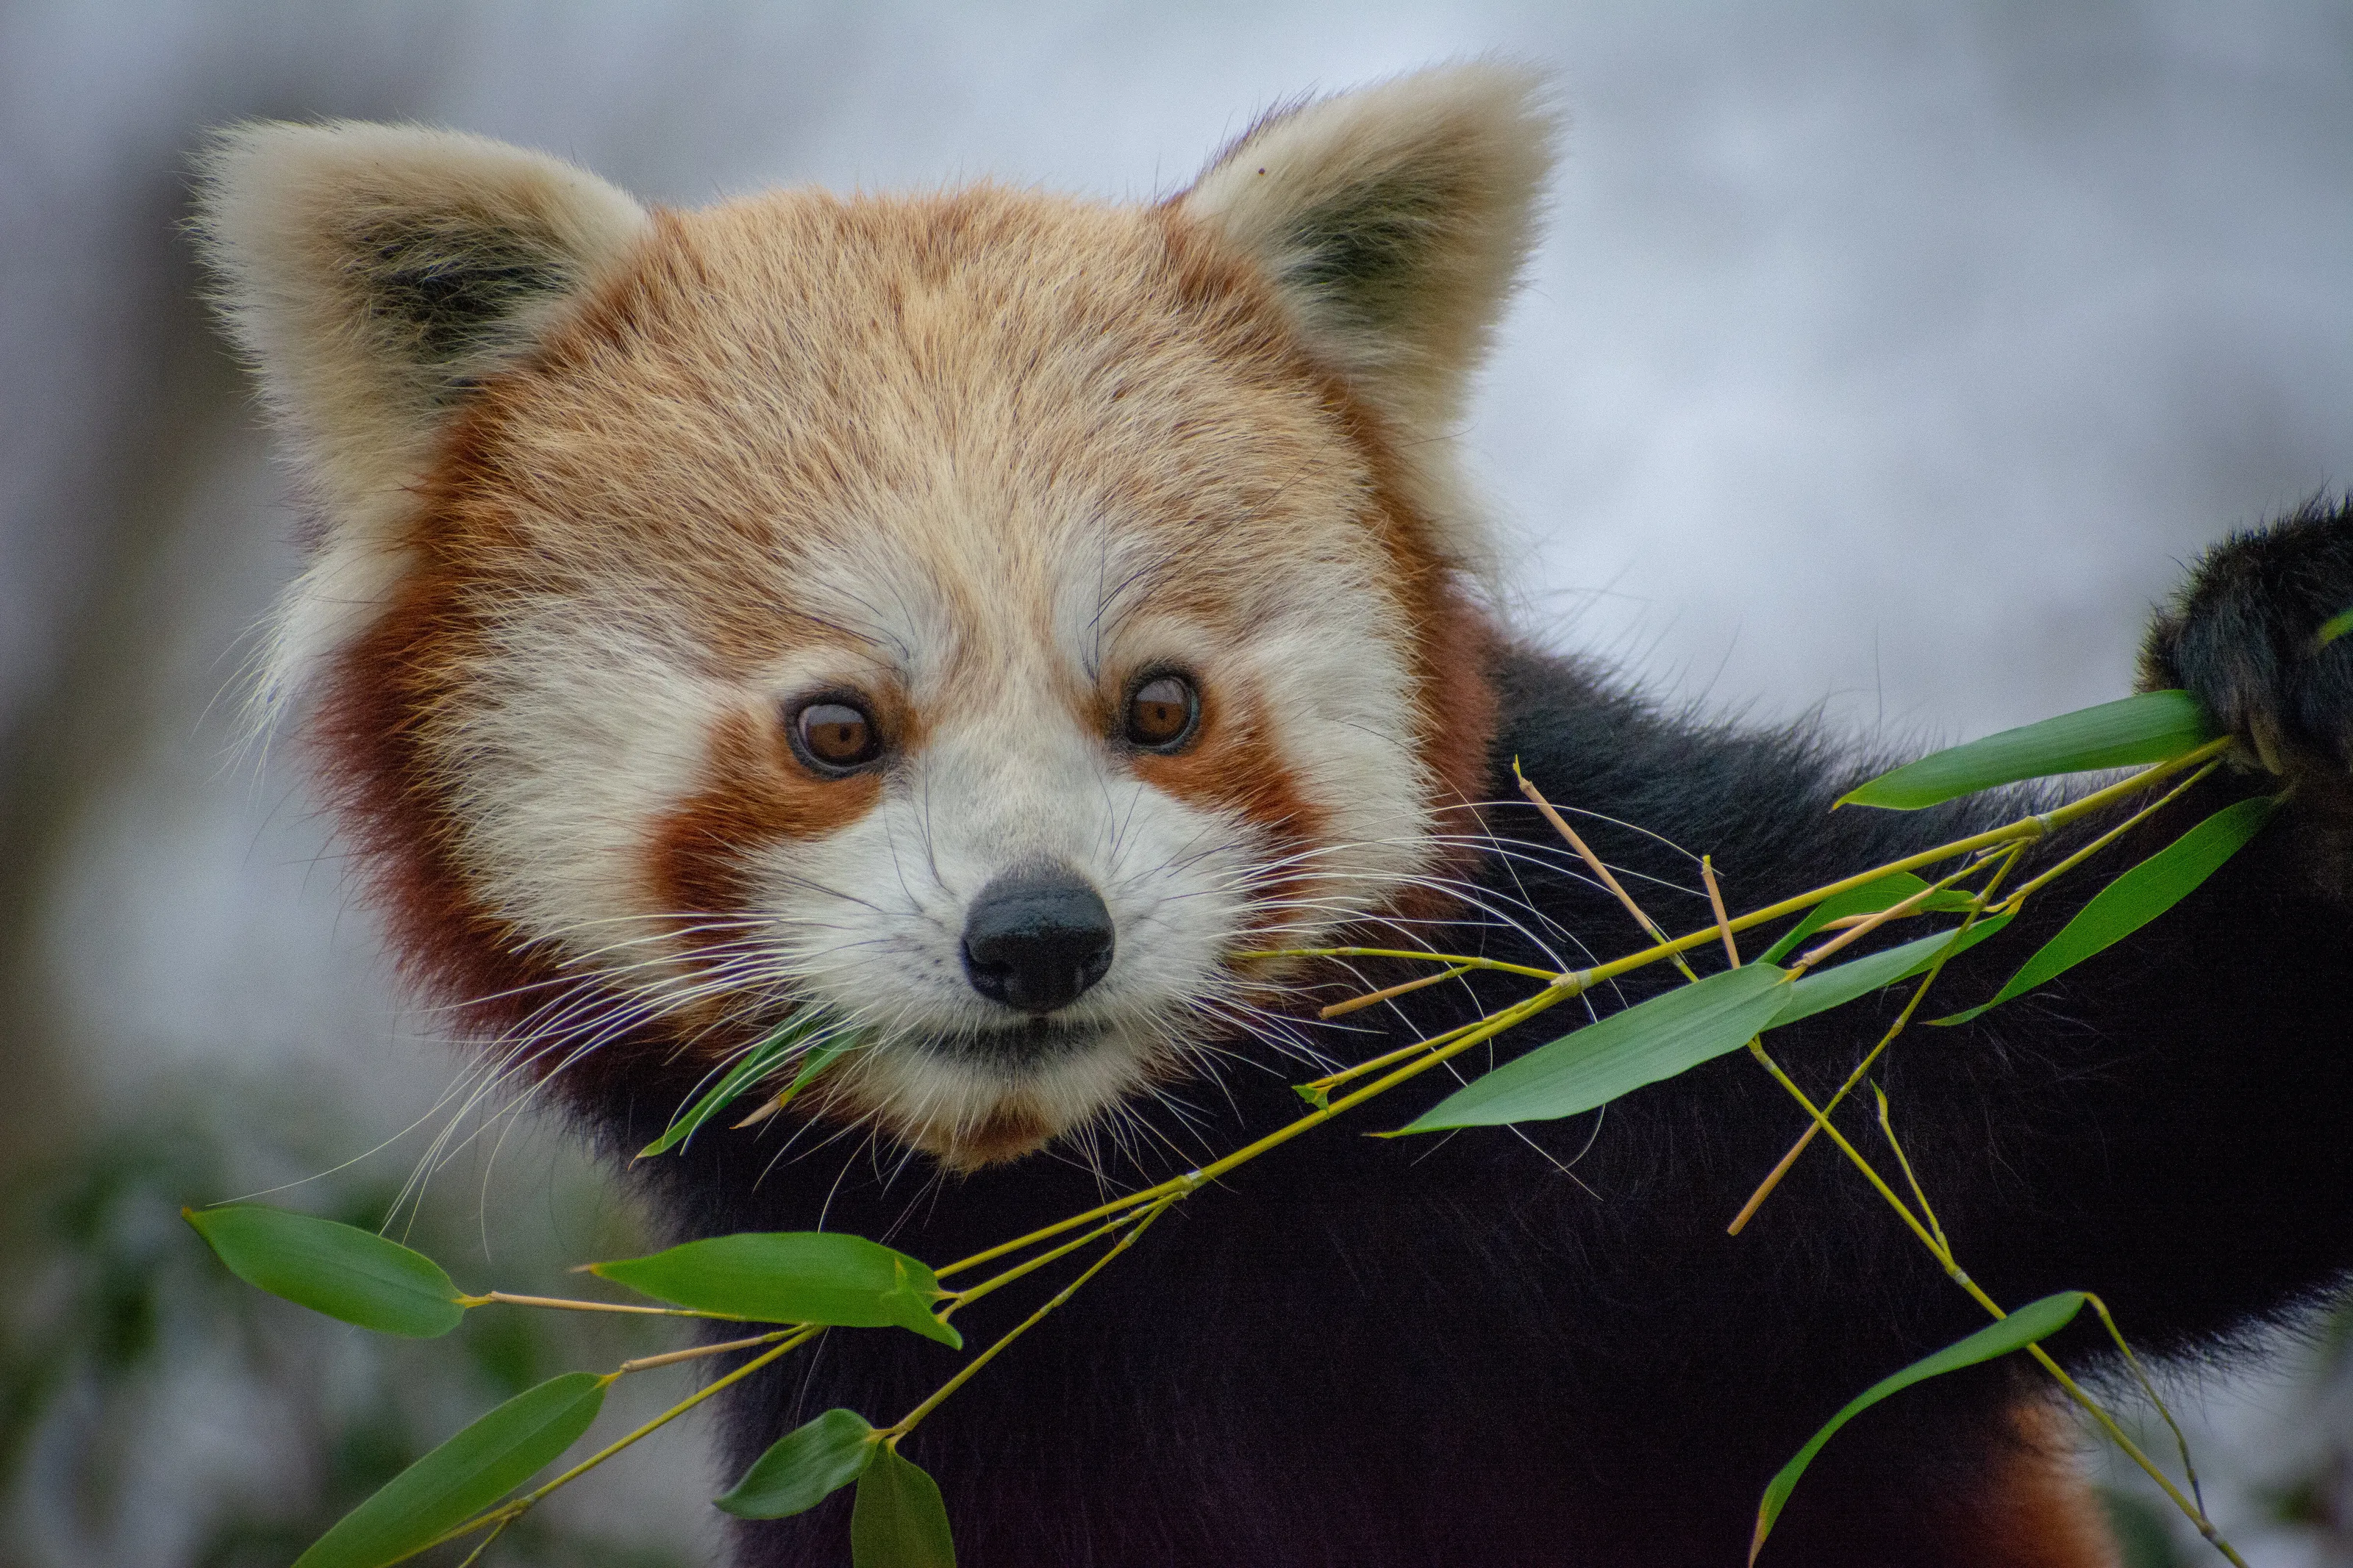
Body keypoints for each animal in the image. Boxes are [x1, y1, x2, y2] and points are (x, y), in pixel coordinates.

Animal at [193, 61, 2353, 1567]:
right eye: (835, 727)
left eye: (1161, 704)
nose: (1038, 932)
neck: (1132, 1200)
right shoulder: (873, 1385)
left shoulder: (1676, 1062)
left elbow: (2119, 1106)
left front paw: (2300, 631)